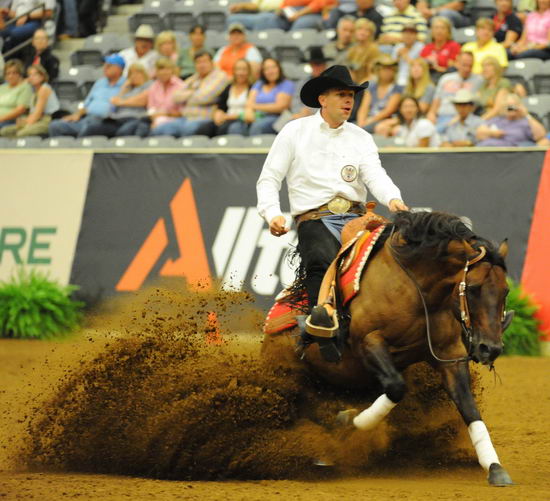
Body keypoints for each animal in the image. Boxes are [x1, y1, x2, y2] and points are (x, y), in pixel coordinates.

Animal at [262, 210, 512, 484]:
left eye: (506, 290)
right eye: (474, 288)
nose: (490, 348)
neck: (416, 289)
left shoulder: (450, 354)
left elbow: (467, 405)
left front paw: (494, 467)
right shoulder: (369, 342)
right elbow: (395, 387)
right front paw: (347, 421)